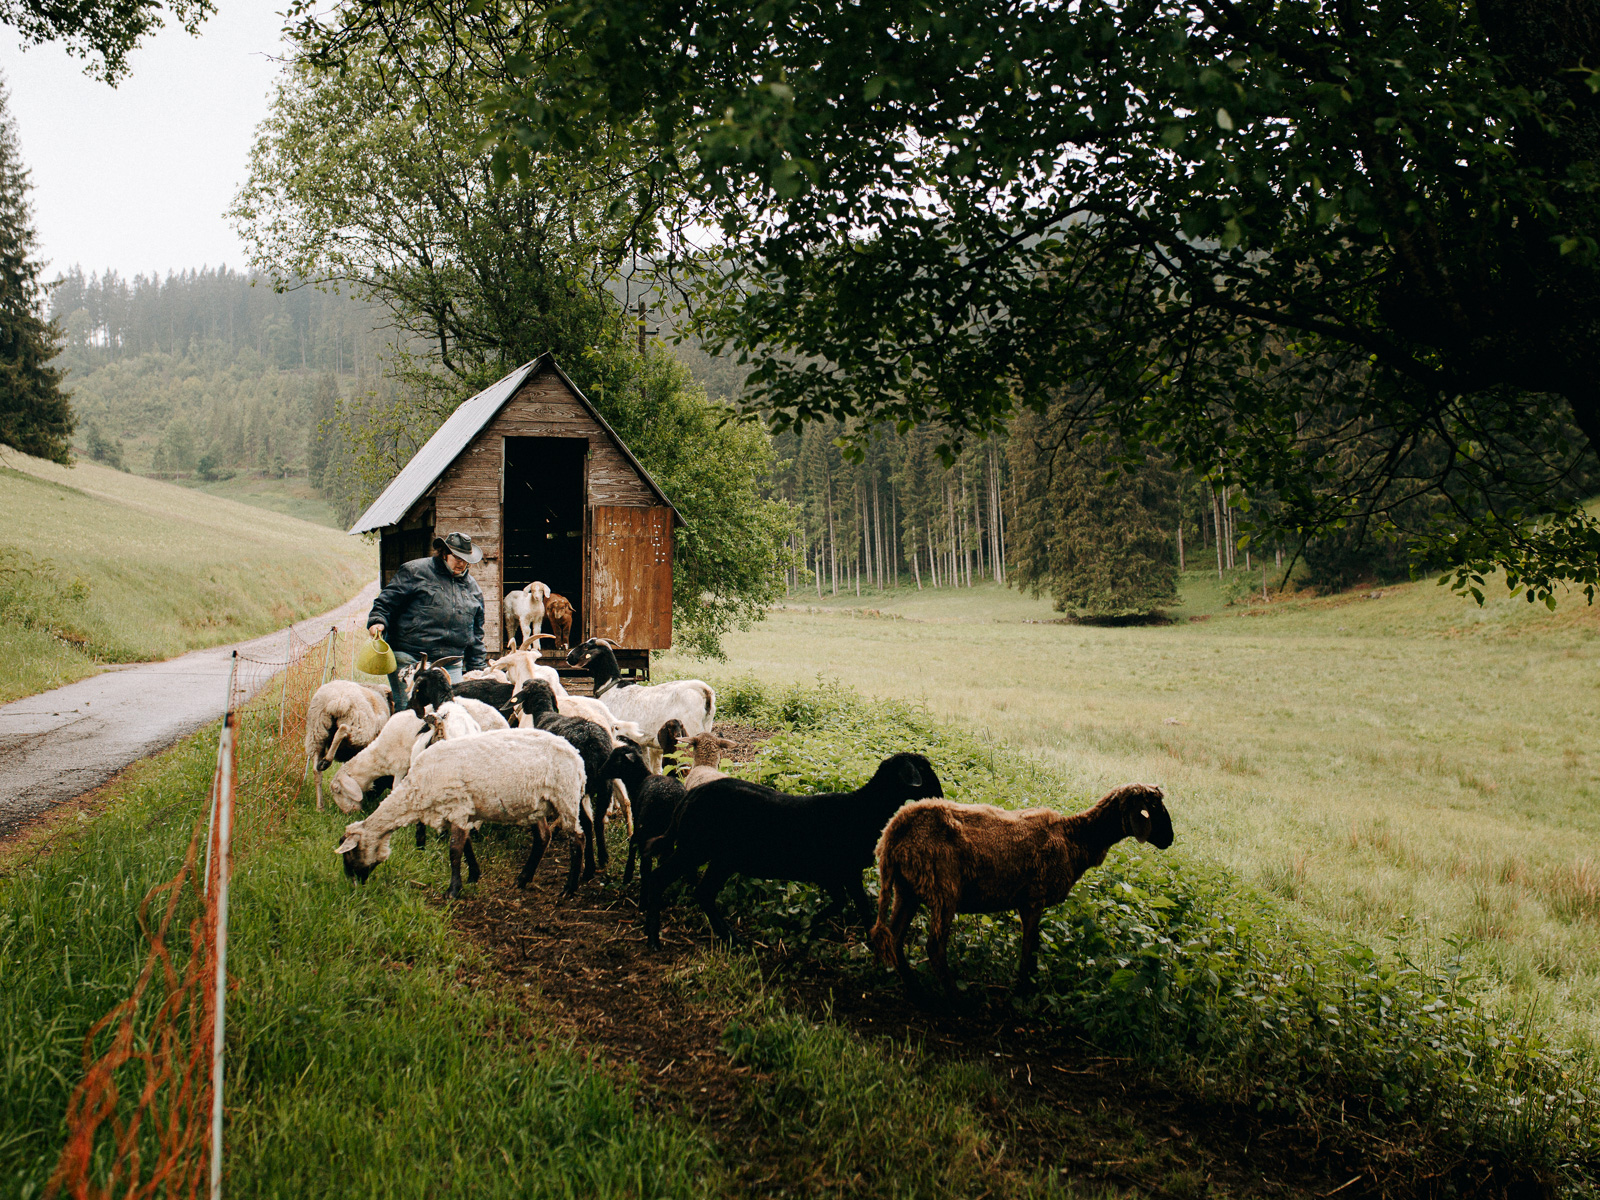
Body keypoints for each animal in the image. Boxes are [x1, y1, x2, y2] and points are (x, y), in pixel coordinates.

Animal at [304, 681, 391, 810]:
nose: (371, 798)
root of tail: (335, 700)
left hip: (316, 732)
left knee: (316, 771)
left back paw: (320, 806)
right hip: (358, 726)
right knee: (343, 729)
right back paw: (327, 761)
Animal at [334, 728, 588, 900]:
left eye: (350, 854)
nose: (355, 886)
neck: (415, 792)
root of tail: (576, 755)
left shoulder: (457, 807)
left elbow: (454, 850)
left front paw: (453, 890)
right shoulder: (458, 813)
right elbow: (466, 846)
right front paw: (473, 876)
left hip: (565, 796)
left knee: (577, 838)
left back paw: (569, 888)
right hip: (537, 804)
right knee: (544, 837)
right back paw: (523, 879)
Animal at [566, 638, 717, 772]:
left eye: (586, 646)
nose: (569, 657)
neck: (611, 689)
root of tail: (704, 690)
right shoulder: (647, 743)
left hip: (689, 734)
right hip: (705, 728)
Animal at [643, 752, 944, 947]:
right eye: (925, 770)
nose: (941, 796)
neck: (863, 810)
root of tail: (689, 798)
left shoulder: (836, 874)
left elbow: (846, 903)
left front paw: (807, 926)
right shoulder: (842, 871)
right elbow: (857, 905)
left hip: (718, 858)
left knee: (703, 893)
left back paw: (731, 939)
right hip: (696, 849)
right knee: (662, 880)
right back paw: (654, 939)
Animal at [869, 784, 1175, 999]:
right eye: (1153, 809)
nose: (1170, 840)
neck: (1075, 836)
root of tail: (895, 830)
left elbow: (1033, 946)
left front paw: (1029, 985)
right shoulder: (1033, 899)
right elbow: (1030, 947)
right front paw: (1023, 990)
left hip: (907, 888)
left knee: (893, 938)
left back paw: (914, 987)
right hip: (944, 889)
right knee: (933, 946)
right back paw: (955, 997)